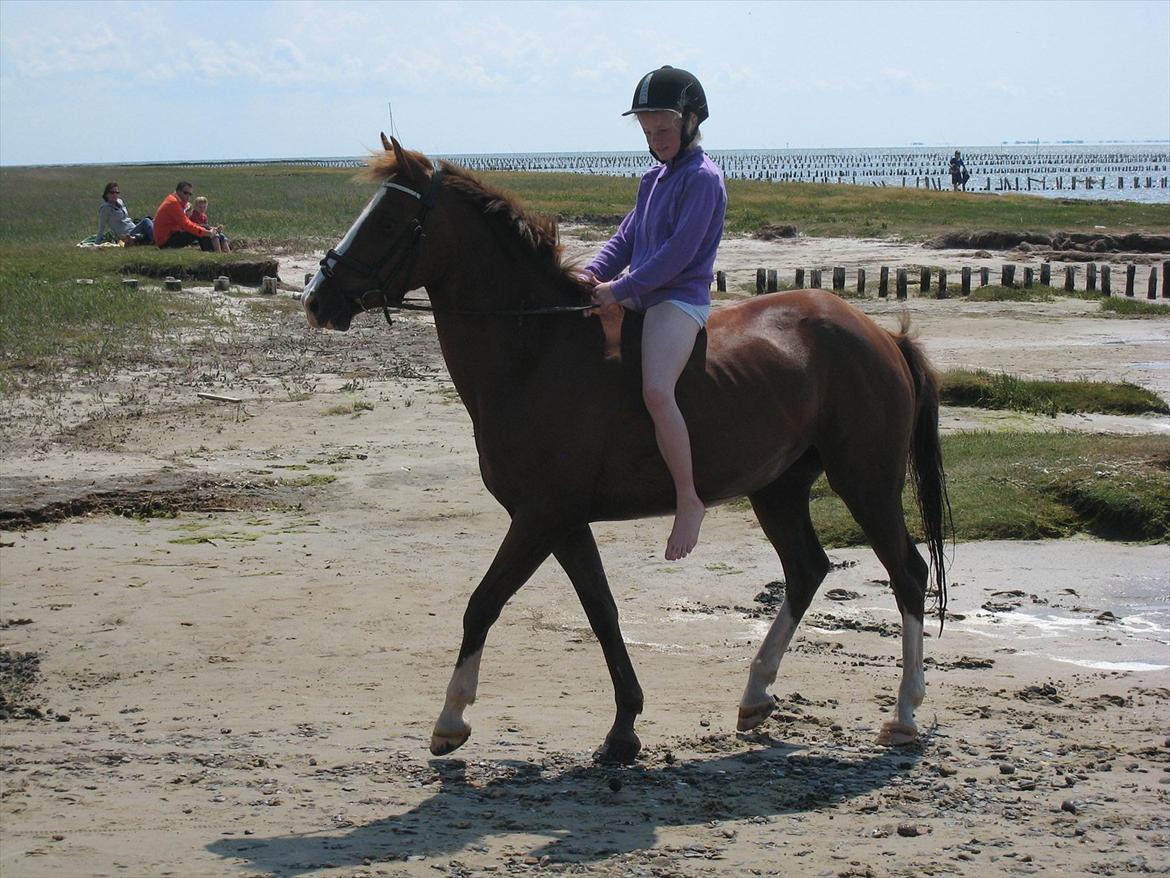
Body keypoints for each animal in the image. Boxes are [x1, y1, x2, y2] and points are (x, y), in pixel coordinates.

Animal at [304, 135, 950, 763]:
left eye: (389, 221)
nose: (316, 298)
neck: (537, 351)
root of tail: (881, 334)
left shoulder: (541, 516)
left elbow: (483, 603)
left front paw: (451, 720)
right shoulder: (562, 522)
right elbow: (601, 611)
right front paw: (623, 729)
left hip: (865, 482)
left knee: (907, 574)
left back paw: (904, 713)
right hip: (778, 489)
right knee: (806, 570)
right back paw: (755, 695)